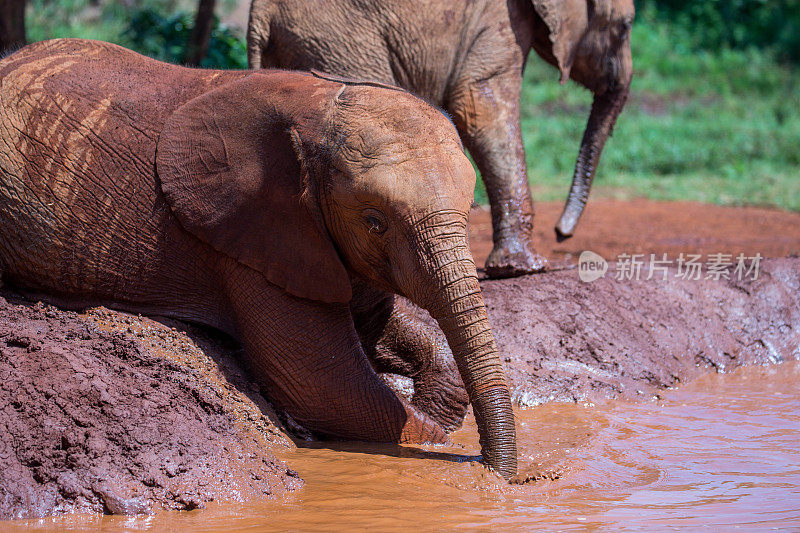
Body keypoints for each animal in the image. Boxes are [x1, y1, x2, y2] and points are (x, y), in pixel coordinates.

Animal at [0, 38, 520, 478]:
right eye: (375, 221)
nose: (496, 474)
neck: (319, 109)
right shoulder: (246, 235)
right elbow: (326, 385)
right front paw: (434, 436)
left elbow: (374, 326)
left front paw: (436, 400)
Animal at [247, 0, 636, 276]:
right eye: (626, 25)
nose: (561, 233)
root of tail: (260, 13)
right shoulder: (498, 18)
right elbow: (480, 107)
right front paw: (524, 269)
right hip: (342, 40)